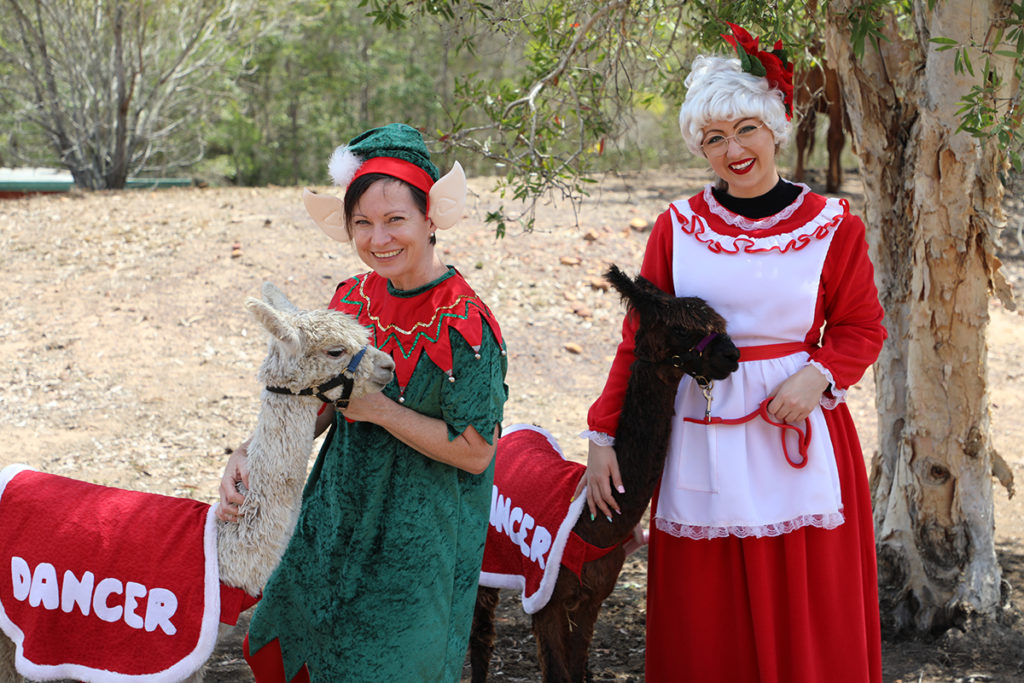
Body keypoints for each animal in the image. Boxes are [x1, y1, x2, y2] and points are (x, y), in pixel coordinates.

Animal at [790, 55, 847, 194]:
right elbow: (841, 142)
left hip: (803, 93)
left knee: (801, 135)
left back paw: (799, 175)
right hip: (835, 98)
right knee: (834, 135)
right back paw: (832, 182)